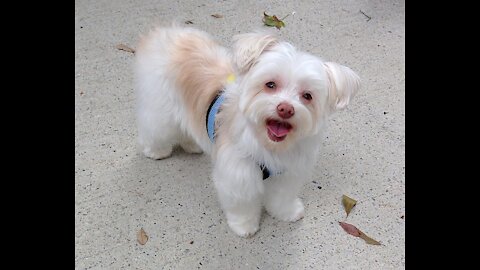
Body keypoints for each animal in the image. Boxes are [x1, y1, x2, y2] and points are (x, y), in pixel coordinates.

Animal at [135, 25, 360, 236]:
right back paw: (156, 151)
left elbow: (282, 197)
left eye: (307, 96)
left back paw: (191, 144)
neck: (269, 145)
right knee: (154, 128)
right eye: (270, 84)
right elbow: (242, 204)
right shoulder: (238, 175)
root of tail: (167, 32)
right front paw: (244, 226)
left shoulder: (287, 173)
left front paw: (286, 212)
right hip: (161, 110)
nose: (285, 109)